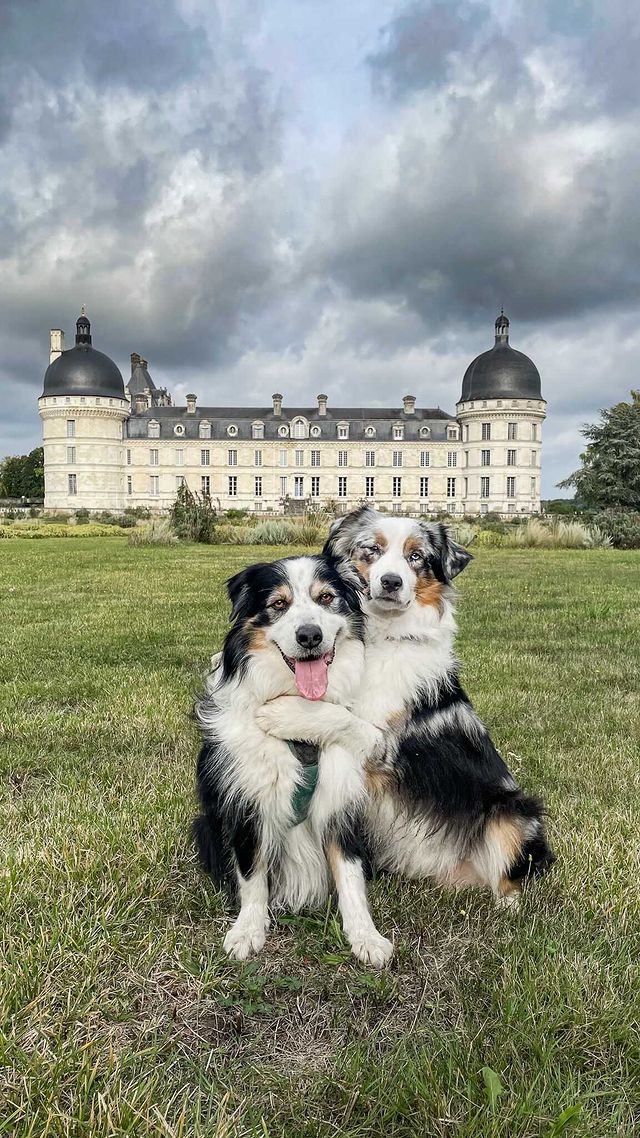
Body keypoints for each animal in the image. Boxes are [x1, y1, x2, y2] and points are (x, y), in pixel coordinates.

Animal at [191, 555, 391, 965]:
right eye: (279, 604)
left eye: (326, 597)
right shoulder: (247, 803)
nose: (309, 636)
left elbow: (350, 876)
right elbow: (251, 875)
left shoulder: (340, 801)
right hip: (203, 825)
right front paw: (248, 931)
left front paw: (366, 936)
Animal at [253, 507, 553, 905]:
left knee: (513, 877)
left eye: (416, 557)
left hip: (513, 812)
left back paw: (508, 904)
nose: (391, 582)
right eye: (372, 550)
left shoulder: (386, 747)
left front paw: (285, 712)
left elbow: (346, 720)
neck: (377, 637)